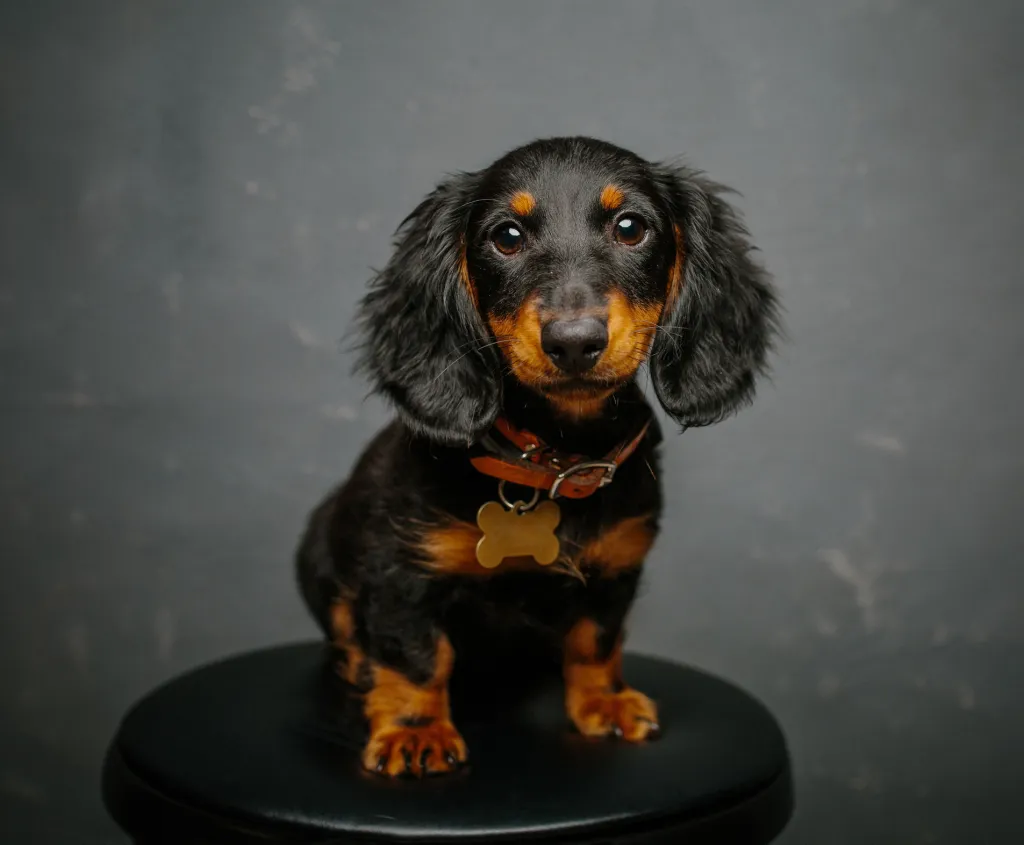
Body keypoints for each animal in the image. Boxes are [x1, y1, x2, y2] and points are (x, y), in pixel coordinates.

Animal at [294, 137, 774, 778]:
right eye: (507, 236)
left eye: (631, 227)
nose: (573, 342)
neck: (554, 459)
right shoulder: (399, 569)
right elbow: (416, 652)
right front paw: (415, 730)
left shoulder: (617, 567)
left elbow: (596, 640)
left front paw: (604, 701)